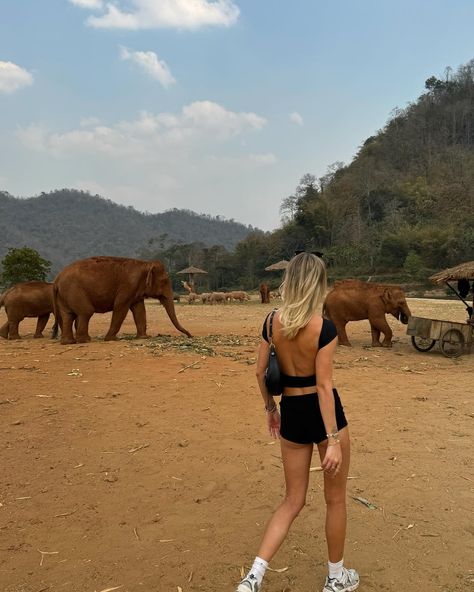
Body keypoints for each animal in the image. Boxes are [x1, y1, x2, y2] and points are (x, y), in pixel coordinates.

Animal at [53, 256, 191, 344]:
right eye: (164, 281)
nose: (190, 335)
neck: (145, 264)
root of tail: (57, 279)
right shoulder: (129, 285)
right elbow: (120, 307)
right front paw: (111, 339)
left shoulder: (136, 290)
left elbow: (140, 310)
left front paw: (144, 337)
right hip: (74, 290)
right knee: (86, 312)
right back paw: (85, 340)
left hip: (65, 294)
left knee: (68, 315)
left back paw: (68, 342)